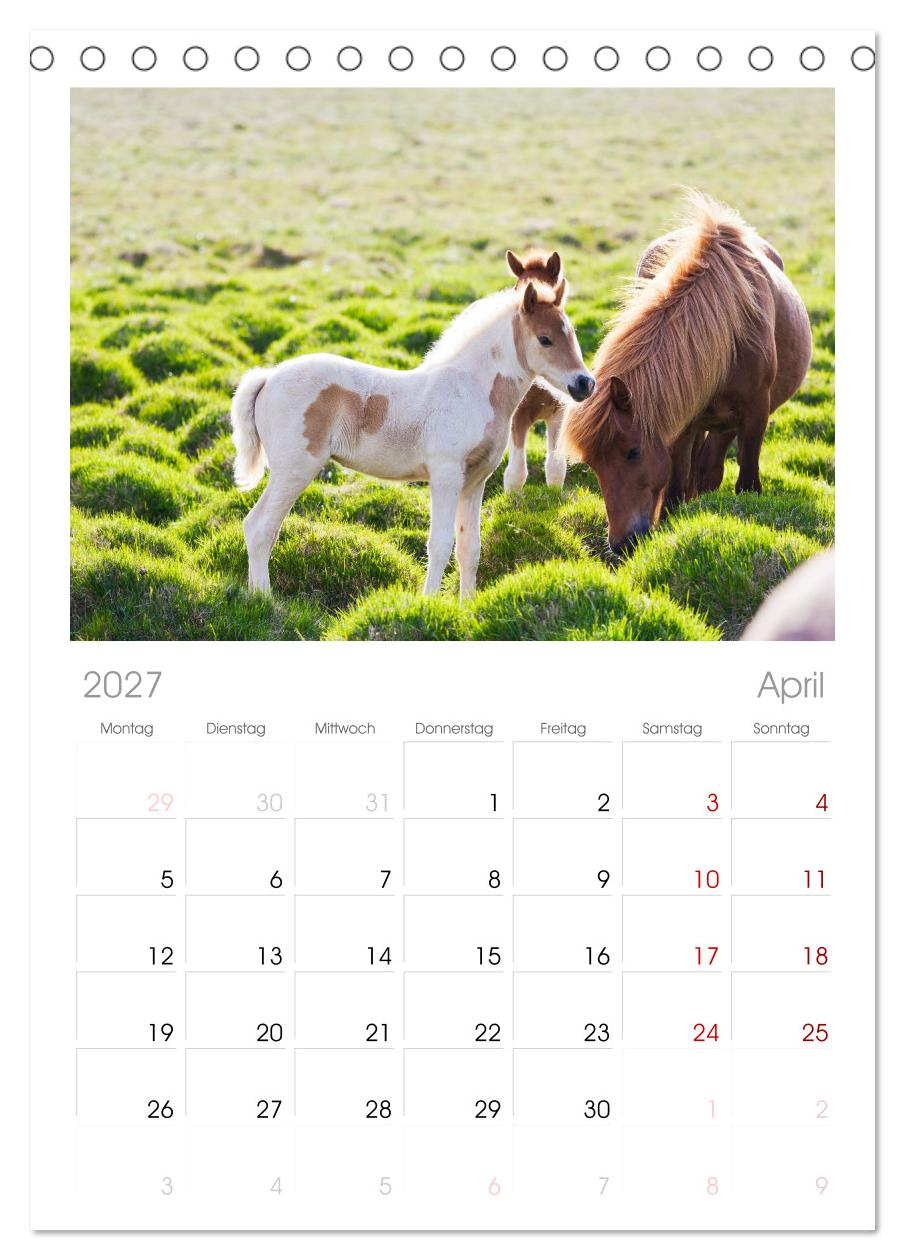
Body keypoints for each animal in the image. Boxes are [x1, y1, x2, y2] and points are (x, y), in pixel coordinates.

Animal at [230, 259, 594, 600]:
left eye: (573, 333)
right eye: (545, 339)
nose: (584, 384)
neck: (472, 389)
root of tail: (267, 377)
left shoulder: (475, 480)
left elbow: (469, 549)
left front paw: (467, 606)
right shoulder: (445, 474)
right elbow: (440, 544)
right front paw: (429, 603)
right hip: (294, 470)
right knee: (260, 527)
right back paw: (266, 601)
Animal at [560, 190, 812, 554]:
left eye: (633, 452)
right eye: (593, 464)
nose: (621, 544)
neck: (729, 334)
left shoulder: (755, 414)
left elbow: (746, 483)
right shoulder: (681, 423)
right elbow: (676, 491)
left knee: (711, 469)